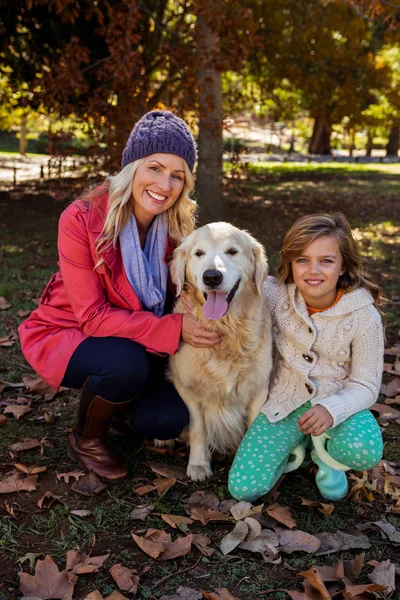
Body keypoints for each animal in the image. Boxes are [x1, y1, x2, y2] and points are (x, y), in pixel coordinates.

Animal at [167, 223, 274, 480]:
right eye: (198, 253)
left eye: (232, 251)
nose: (212, 277)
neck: (225, 333)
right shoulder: (186, 388)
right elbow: (198, 428)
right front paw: (198, 464)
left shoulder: (259, 388)